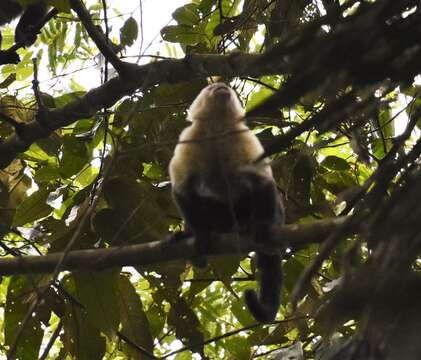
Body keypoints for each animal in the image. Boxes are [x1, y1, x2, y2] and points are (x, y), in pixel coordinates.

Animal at [169, 83, 284, 322]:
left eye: (225, 87)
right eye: (211, 87)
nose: (221, 86)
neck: (217, 128)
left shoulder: (243, 136)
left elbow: (262, 181)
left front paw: (262, 226)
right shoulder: (190, 138)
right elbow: (182, 188)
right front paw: (200, 233)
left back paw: (249, 225)